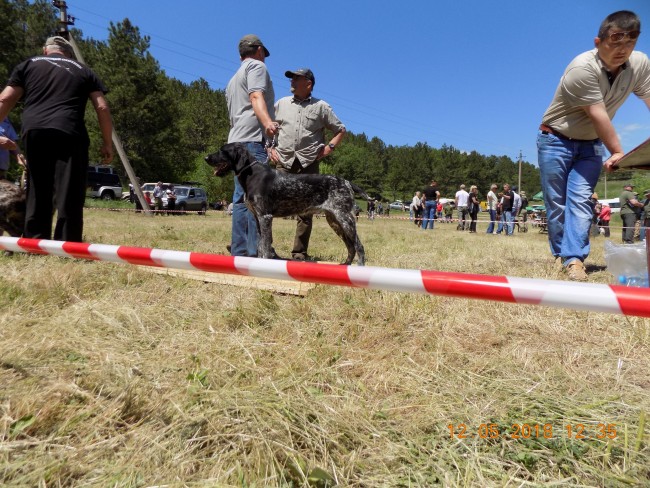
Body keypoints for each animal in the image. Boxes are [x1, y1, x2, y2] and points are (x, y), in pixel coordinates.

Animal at [205, 143, 372, 264]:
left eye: (223, 151)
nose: (206, 157)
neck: (251, 174)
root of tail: (346, 182)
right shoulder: (258, 218)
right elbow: (260, 245)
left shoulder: (265, 217)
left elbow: (265, 245)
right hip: (334, 220)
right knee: (351, 246)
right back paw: (345, 267)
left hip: (345, 219)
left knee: (359, 246)